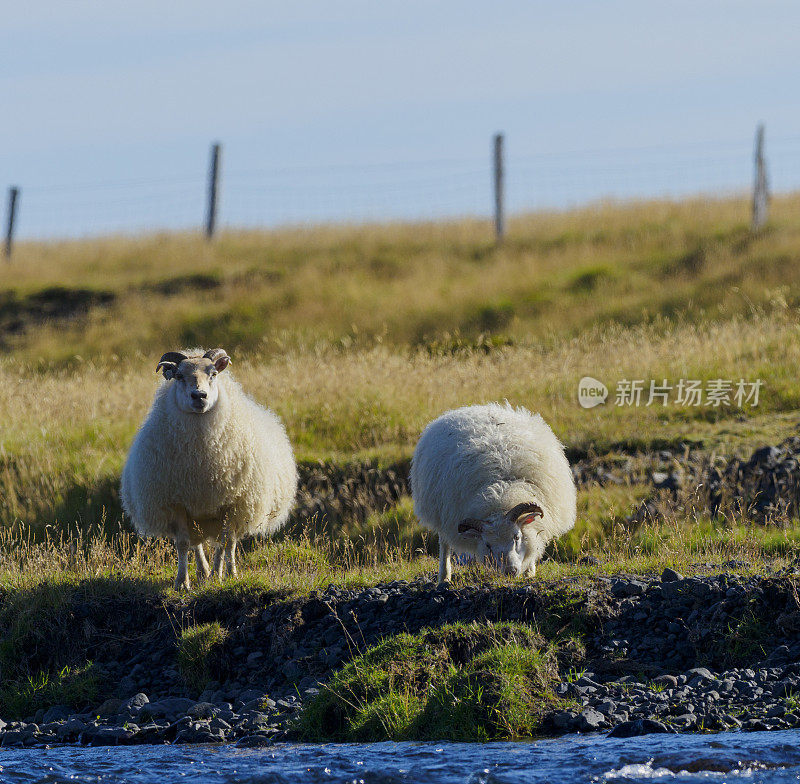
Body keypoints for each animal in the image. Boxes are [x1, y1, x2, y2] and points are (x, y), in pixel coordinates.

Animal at [117, 346, 296, 592]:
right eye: (179, 376)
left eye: (213, 374)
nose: (199, 396)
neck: (201, 460)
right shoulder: (178, 503)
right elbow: (184, 544)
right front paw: (182, 582)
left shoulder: (230, 502)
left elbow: (226, 542)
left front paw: (226, 575)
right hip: (196, 515)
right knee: (197, 544)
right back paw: (203, 572)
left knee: (225, 542)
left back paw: (222, 574)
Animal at [412, 404, 576, 580]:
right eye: (488, 544)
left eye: (516, 537)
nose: (510, 571)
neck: (501, 496)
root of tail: (473, 408)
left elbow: (534, 541)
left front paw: (530, 573)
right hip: (442, 515)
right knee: (444, 545)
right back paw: (444, 577)